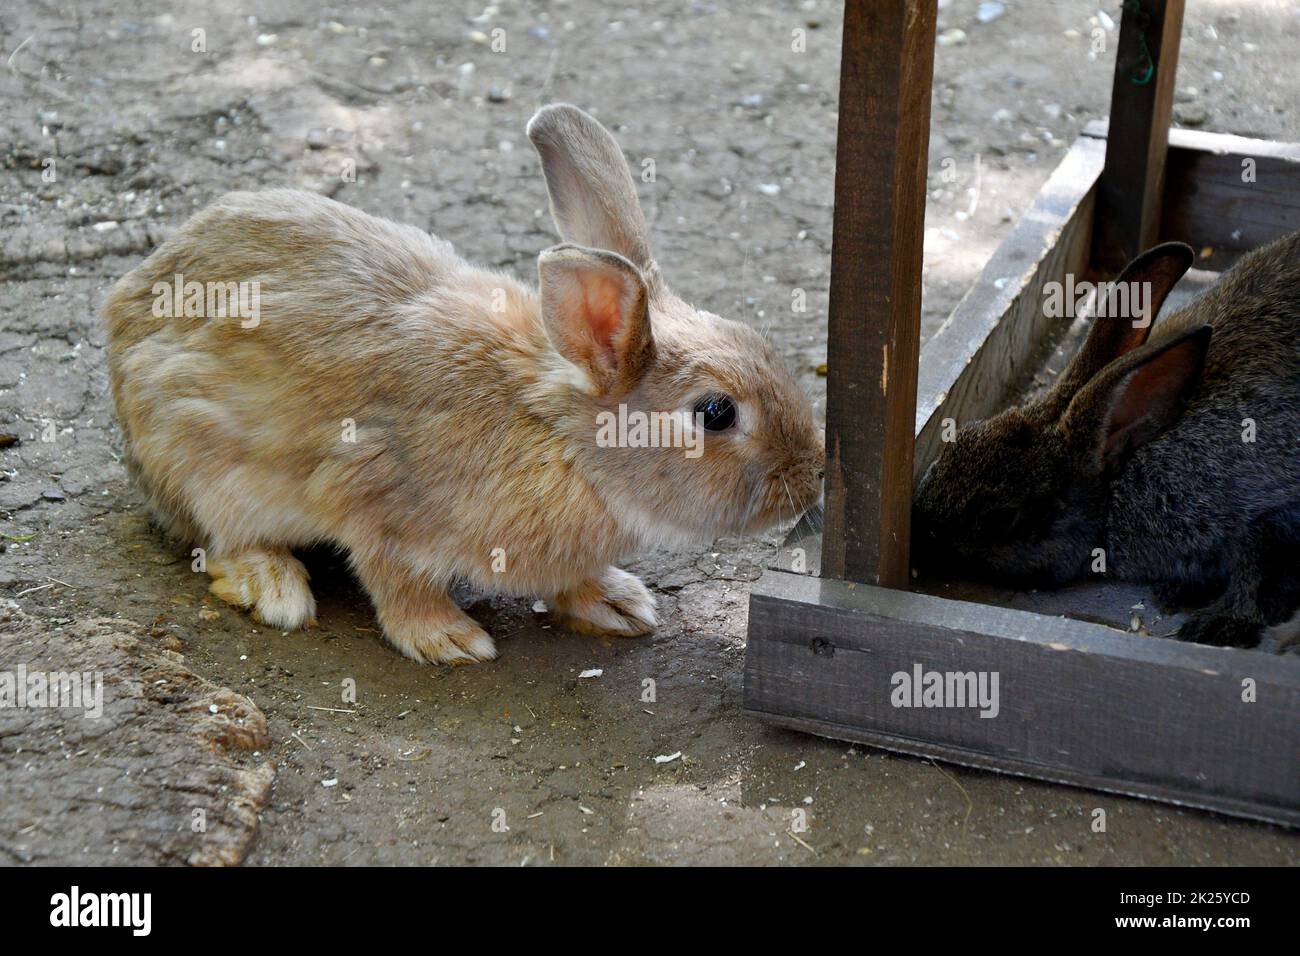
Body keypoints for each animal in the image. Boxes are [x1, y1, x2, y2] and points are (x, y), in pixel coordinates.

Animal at [102, 104, 824, 665]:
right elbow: (397, 581)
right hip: (196, 455)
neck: (565, 443)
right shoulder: (376, 494)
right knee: (218, 539)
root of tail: (126, 308)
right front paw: (447, 639)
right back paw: (275, 586)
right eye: (716, 412)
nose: (813, 474)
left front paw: (617, 602)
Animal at [912, 233, 1300, 648]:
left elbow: (1254, 568)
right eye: (960, 438)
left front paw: (1220, 625)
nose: (919, 533)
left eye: (1003, 517)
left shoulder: (1269, 509)